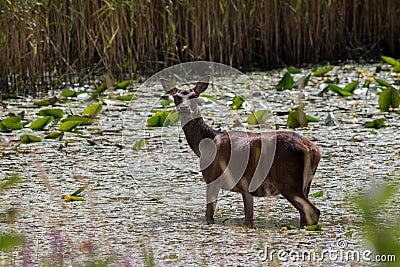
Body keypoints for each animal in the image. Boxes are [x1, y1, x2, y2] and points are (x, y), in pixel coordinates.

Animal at [161, 76, 320, 228]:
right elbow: (248, 217)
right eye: (177, 96)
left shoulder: (212, 178)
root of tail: (313, 150)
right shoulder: (246, 189)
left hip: (288, 180)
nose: (184, 108)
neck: (205, 143)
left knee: (313, 211)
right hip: (306, 183)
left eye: (194, 96)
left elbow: (209, 215)